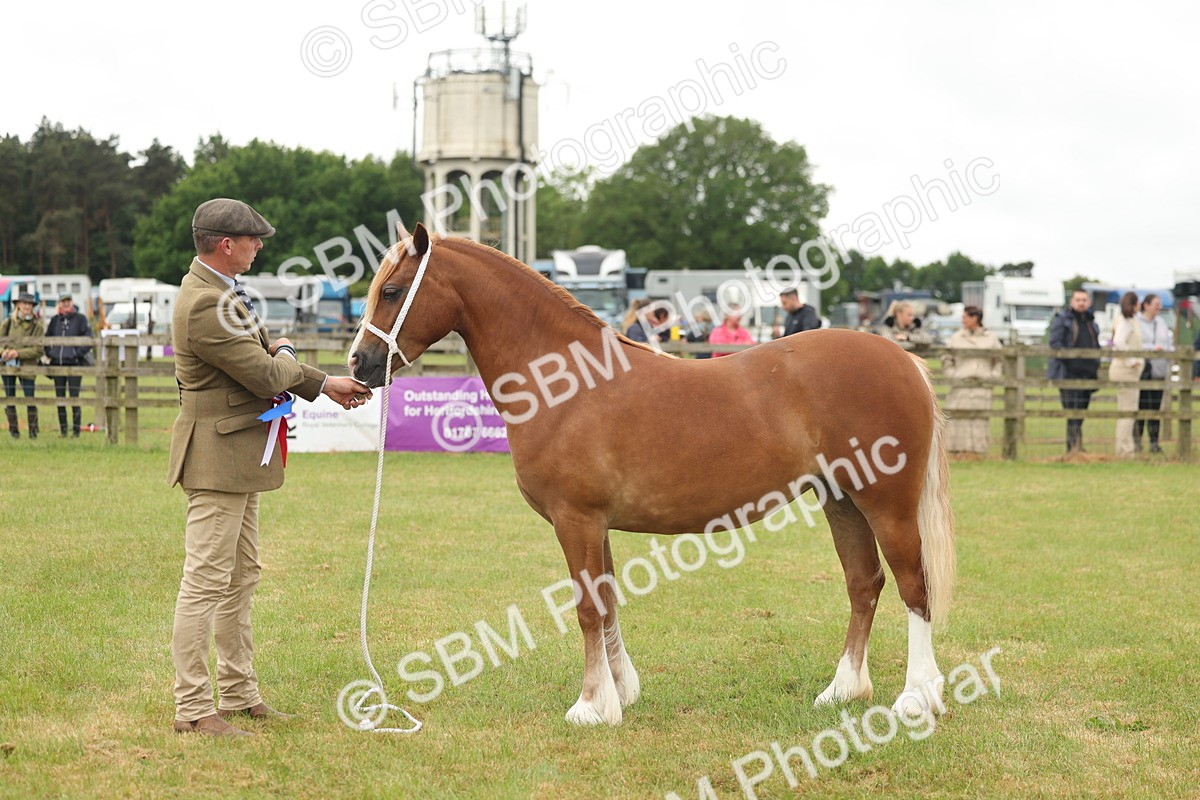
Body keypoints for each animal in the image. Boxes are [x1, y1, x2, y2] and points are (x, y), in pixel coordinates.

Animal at [348, 222, 955, 726]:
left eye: (393, 291)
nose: (358, 364)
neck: (567, 381)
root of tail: (904, 360)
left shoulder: (576, 519)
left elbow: (587, 609)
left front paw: (591, 707)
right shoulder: (596, 524)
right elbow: (607, 601)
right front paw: (620, 693)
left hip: (886, 504)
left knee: (913, 585)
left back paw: (916, 697)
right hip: (841, 500)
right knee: (864, 584)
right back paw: (842, 690)